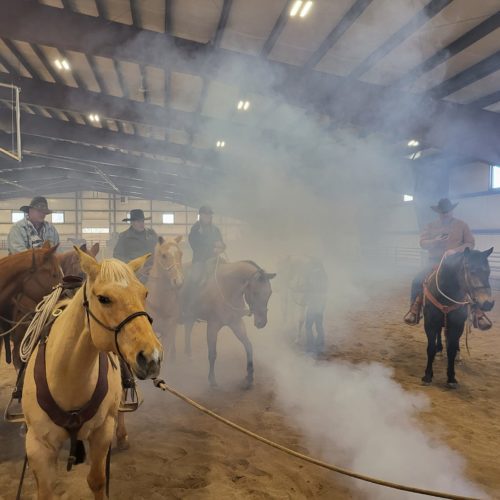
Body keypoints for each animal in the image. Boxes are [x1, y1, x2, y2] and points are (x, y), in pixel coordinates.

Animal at [21, 250, 162, 500]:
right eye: (104, 298)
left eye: (144, 293)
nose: (151, 356)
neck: (68, 378)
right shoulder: (37, 446)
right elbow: (46, 491)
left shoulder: (101, 432)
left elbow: (97, 481)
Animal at [420, 248, 494, 388]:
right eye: (472, 271)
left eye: (488, 271)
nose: (488, 303)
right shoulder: (430, 323)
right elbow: (430, 348)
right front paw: (427, 375)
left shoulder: (457, 326)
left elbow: (451, 350)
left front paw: (451, 378)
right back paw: (439, 350)